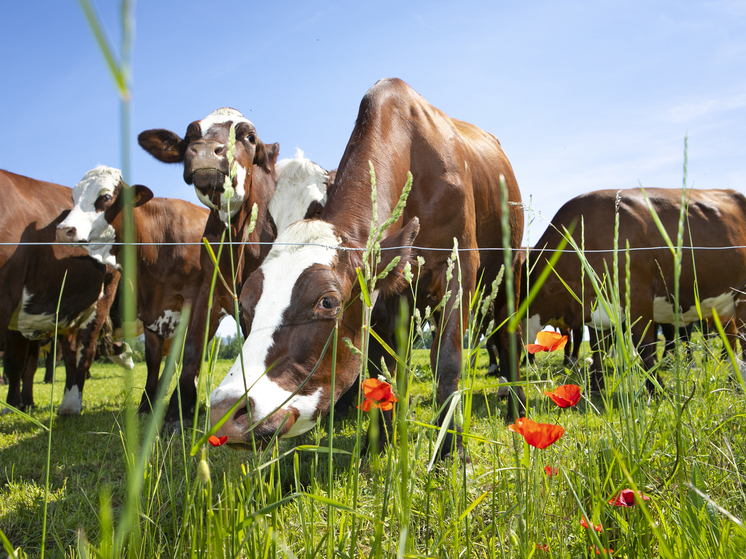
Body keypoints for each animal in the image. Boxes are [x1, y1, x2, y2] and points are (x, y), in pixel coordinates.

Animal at [0, 168, 119, 414]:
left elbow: (21, 363)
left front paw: (18, 404)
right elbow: (17, 363)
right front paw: (18, 404)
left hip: (102, 298)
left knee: (84, 350)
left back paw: (72, 404)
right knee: (70, 350)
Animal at [55, 166, 208, 412]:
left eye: (106, 197)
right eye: (73, 196)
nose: (64, 230)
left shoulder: (192, 303)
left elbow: (186, 351)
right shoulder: (148, 309)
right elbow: (153, 359)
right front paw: (147, 404)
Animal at [208, 77, 524, 460]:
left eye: (327, 302)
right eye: (245, 305)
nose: (225, 413)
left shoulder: (460, 262)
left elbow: (448, 359)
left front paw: (450, 451)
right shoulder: (383, 295)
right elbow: (377, 369)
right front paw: (378, 446)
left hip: (509, 270)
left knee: (509, 335)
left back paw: (516, 406)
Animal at [520, 188, 744, 394]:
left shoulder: (638, 298)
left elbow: (644, 345)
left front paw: (656, 389)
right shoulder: (596, 309)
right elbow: (598, 347)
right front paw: (596, 387)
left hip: (741, 297)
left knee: (740, 335)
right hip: (720, 306)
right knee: (730, 335)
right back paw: (735, 379)